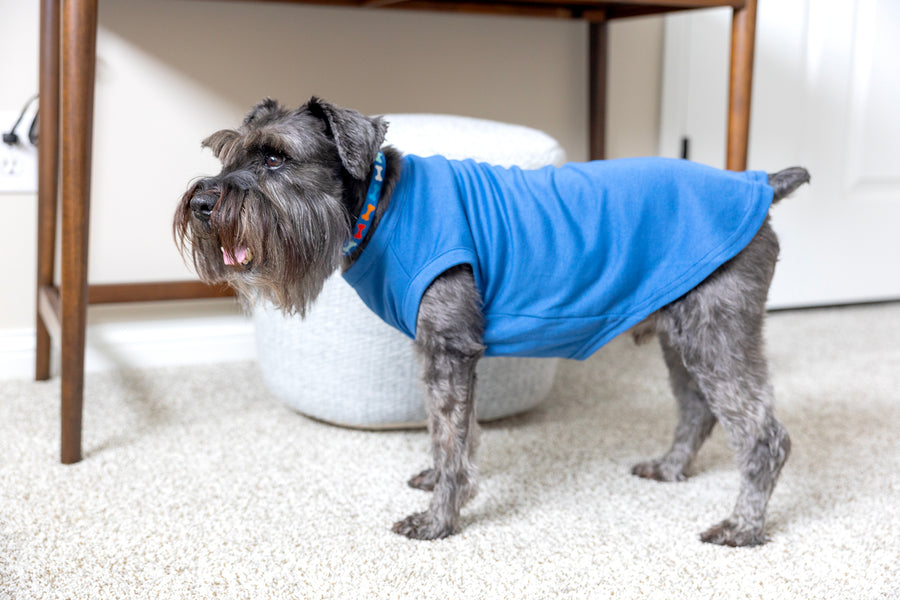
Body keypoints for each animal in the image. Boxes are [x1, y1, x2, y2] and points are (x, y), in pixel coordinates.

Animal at [174, 99, 808, 548]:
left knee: (764, 437)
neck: (383, 204)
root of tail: (758, 184)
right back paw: (671, 469)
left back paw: (743, 527)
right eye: (226, 156)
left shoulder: (448, 349)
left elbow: (450, 434)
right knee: (698, 410)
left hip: (716, 339)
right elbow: (454, 431)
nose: (202, 204)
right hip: (684, 339)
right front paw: (438, 482)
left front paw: (439, 520)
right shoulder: (445, 354)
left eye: (275, 158)